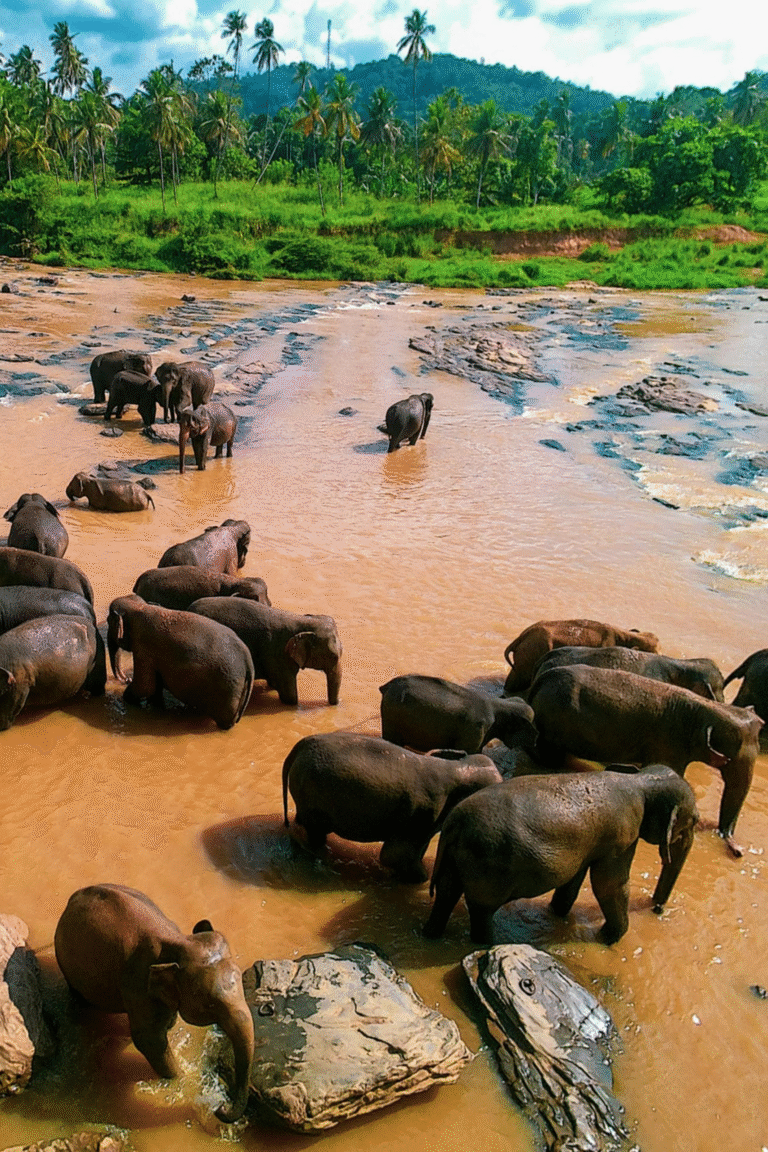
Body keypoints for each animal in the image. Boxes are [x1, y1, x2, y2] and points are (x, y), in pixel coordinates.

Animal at [54, 884, 255, 1124]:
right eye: (210, 1005)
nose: (220, 1108)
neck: (177, 942)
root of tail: (72, 898)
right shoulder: (137, 984)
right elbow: (149, 1040)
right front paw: (181, 1079)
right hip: (67, 964)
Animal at [107, 594, 254, 730]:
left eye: (109, 622)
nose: (126, 679)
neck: (140, 607)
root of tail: (248, 661)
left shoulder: (143, 648)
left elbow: (145, 686)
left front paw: (127, 698)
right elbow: (155, 685)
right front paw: (155, 706)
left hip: (229, 689)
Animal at [282, 731, 502, 881]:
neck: (457, 769)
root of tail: (299, 746)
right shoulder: (423, 814)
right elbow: (393, 855)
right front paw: (421, 879)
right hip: (311, 795)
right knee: (316, 833)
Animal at [423, 765, 699, 944]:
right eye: (695, 820)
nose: (658, 910)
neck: (641, 780)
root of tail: (453, 824)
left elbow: (573, 881)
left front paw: (558, 914)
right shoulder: (622, 836)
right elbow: (609, 884)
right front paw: (609, 939)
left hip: (457, 858)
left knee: (446, 895)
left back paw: (432, 935)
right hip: (488, 865)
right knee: (481, 909)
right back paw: (488, 944)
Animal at [528, 664, 764, 856]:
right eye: (733, 757)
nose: (738, 851)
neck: (707, 708)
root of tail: (542, 678)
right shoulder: (668, 742)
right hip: (555, 720)